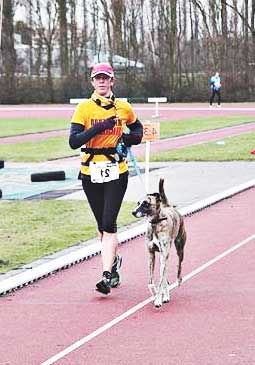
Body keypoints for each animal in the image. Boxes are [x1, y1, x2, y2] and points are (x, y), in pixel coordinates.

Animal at [132, 178, 186, 308]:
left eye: (145, 203)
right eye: (138, 203)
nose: (133, 212)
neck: (155, 223)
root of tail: (169, 207)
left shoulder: (163, 254)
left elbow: (161, 281)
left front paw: (158, 300)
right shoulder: (151, 255)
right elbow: (151, 282)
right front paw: (156, 294)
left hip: (179, 248)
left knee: (179, 265)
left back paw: (177, 281)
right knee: (165, 274)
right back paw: (165, 295)